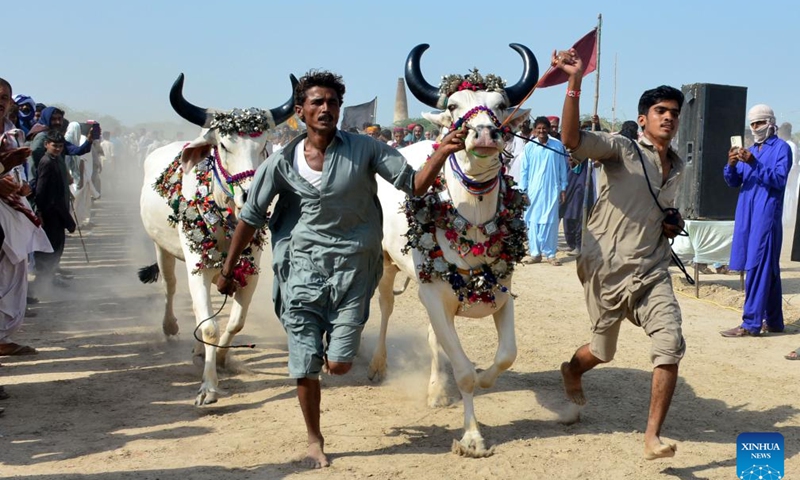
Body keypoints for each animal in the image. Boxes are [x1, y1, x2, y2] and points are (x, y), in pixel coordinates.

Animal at [139, 75, 296, 404]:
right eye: (223, 145)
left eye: (265, 146)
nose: (251, 196)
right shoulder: (197, 268)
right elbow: (210, 326)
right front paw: (208, 387)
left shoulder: (251, 271)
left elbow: (235, 322)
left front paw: (221, 359)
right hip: (163, 249)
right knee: (171, 288)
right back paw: (170, 326)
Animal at [368, 45, 536, 458]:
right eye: (455, 105)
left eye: (500, 104)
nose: (486, 133)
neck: (473, 221)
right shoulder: (432, 294)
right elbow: (462, 372)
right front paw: (472, 437)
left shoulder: (502, 293)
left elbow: (506, 356)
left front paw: (483, 377)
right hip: (388, 267)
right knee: (385, 308)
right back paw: (378, 364)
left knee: (433, 339)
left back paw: (436, 390)